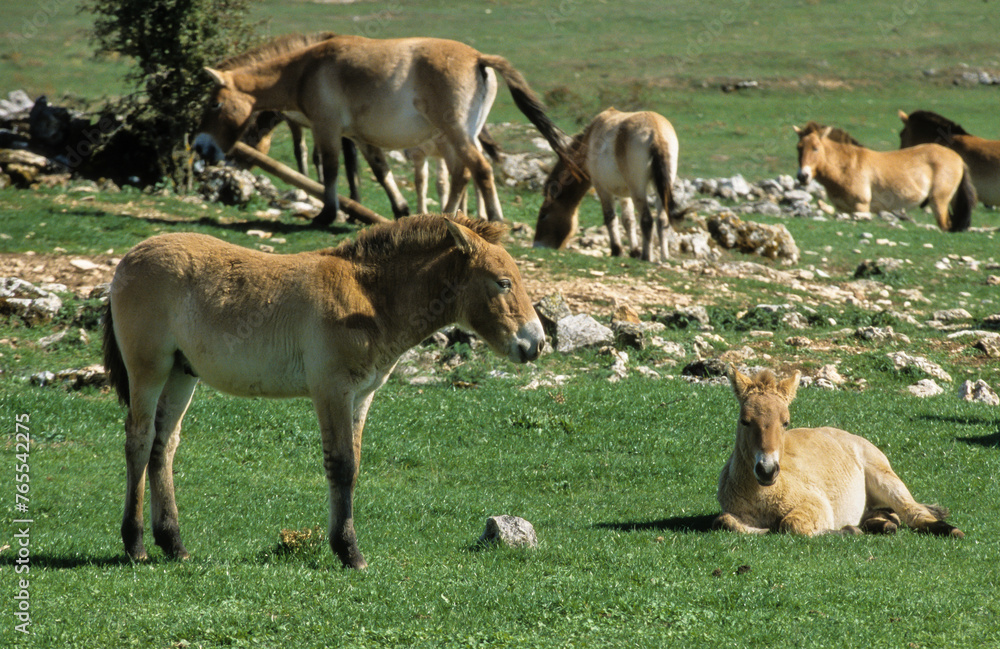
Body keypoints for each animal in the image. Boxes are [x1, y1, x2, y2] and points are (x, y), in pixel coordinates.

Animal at [102, 214, 545, 569]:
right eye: (503, 282)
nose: (536, 343)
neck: (368, 297)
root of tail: (127, 260)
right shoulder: (332, 389)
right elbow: (342, 465)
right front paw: (349, 552)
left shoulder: (362, 396)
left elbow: (355, 465)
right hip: (149, 369)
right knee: (139, 440)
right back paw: (136, 545)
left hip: (182, 373)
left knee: (164, 445)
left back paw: (173, 544)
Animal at [194, 34, 572, 226]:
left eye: (213, 105)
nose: (200, 147)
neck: (306, 68)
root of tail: (479, 58)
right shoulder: (359, 137)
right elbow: (379, 170)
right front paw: (401, 210)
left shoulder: (327, 129)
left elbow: (331, 168)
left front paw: (327, 214)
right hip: (459, 136)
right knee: (462, 173)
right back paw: (447, 216)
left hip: (455, 133)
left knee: (479, 170)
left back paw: (493, 220)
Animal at [532, 108, 682, 261]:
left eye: (543, 214)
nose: (537, 245)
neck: (589, 139)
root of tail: (655, 133)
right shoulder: (624, 194)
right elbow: (628, 220)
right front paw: (634, 251)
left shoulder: (601, 188)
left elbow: (610, 217)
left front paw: (617, 250)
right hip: (662, 188)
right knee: (662, 220)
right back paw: (664, 257)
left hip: (638, 189)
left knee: (647, 220)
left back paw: (646, 257)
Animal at [715, 366, 964, 538]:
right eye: (744, 421)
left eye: (786, 422)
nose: (767, 470)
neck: (762, 496)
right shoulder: (734, 514)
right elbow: (724, 520)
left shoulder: (816, 504)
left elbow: (791, 524)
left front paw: (845, 531)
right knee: (887, 515)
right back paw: (883, 524)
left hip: (885, 479)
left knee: (913, 512)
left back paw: (951, 530)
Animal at [795, 124, 976, 232]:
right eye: (798, 148)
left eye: (816, 148)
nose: (802, 176)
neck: (847, 166)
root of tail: (958, 159)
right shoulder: (842, 209)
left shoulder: (861, 207)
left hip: (939, 202)